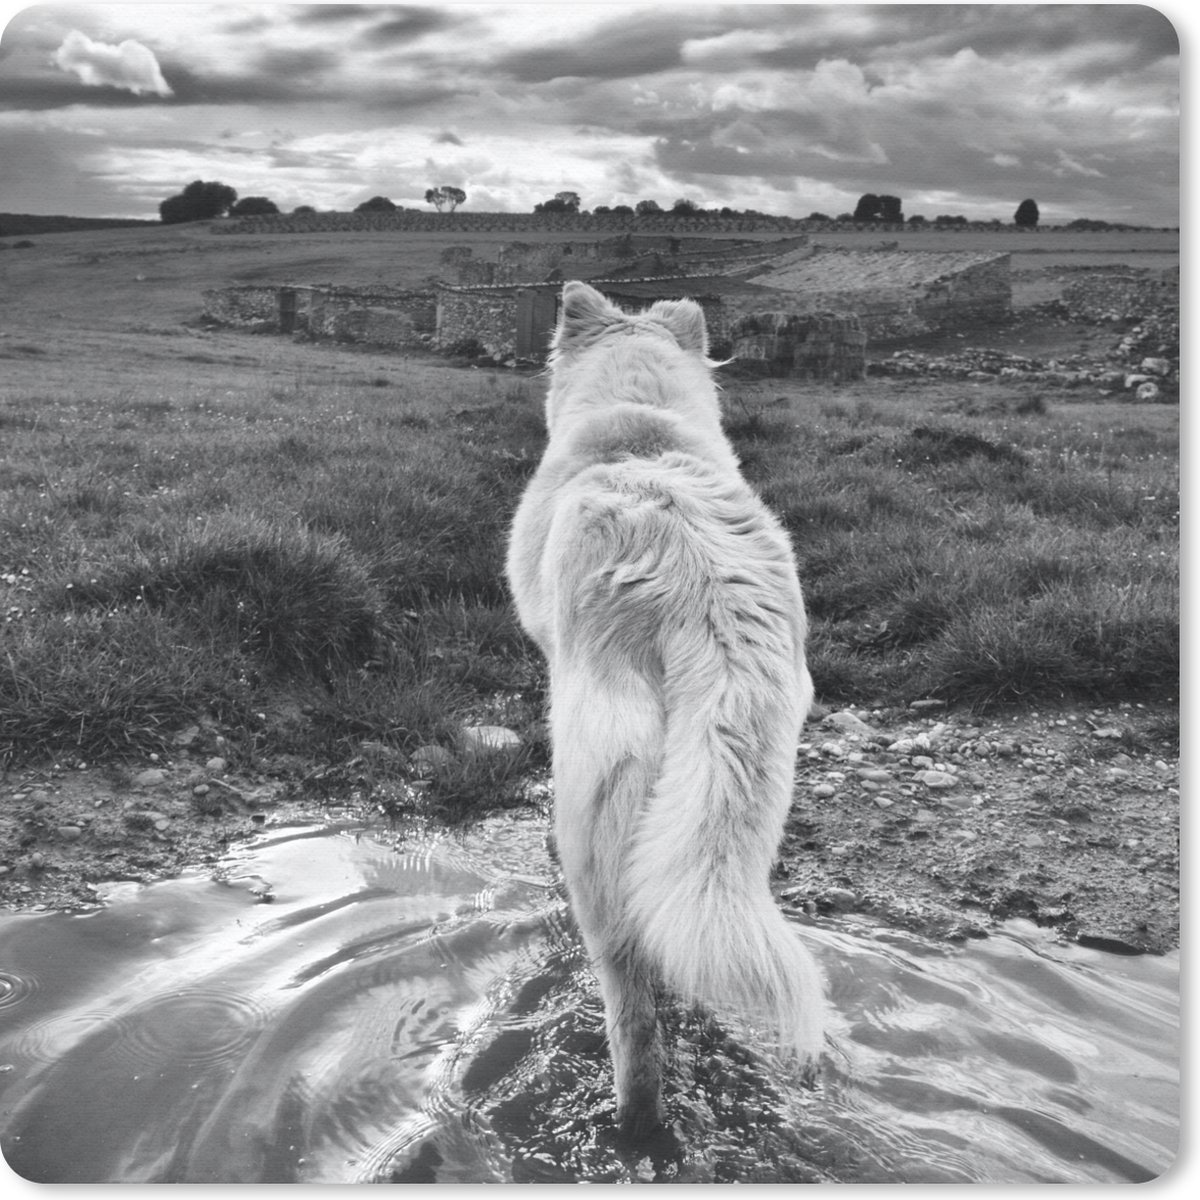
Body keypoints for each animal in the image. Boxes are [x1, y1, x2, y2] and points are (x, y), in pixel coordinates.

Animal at [506, 281, 826, 1137]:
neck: (639, 424)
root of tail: (701, 589)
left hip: (599, 803)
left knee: (632, 1004)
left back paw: (637, 1126)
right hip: (737, 802)